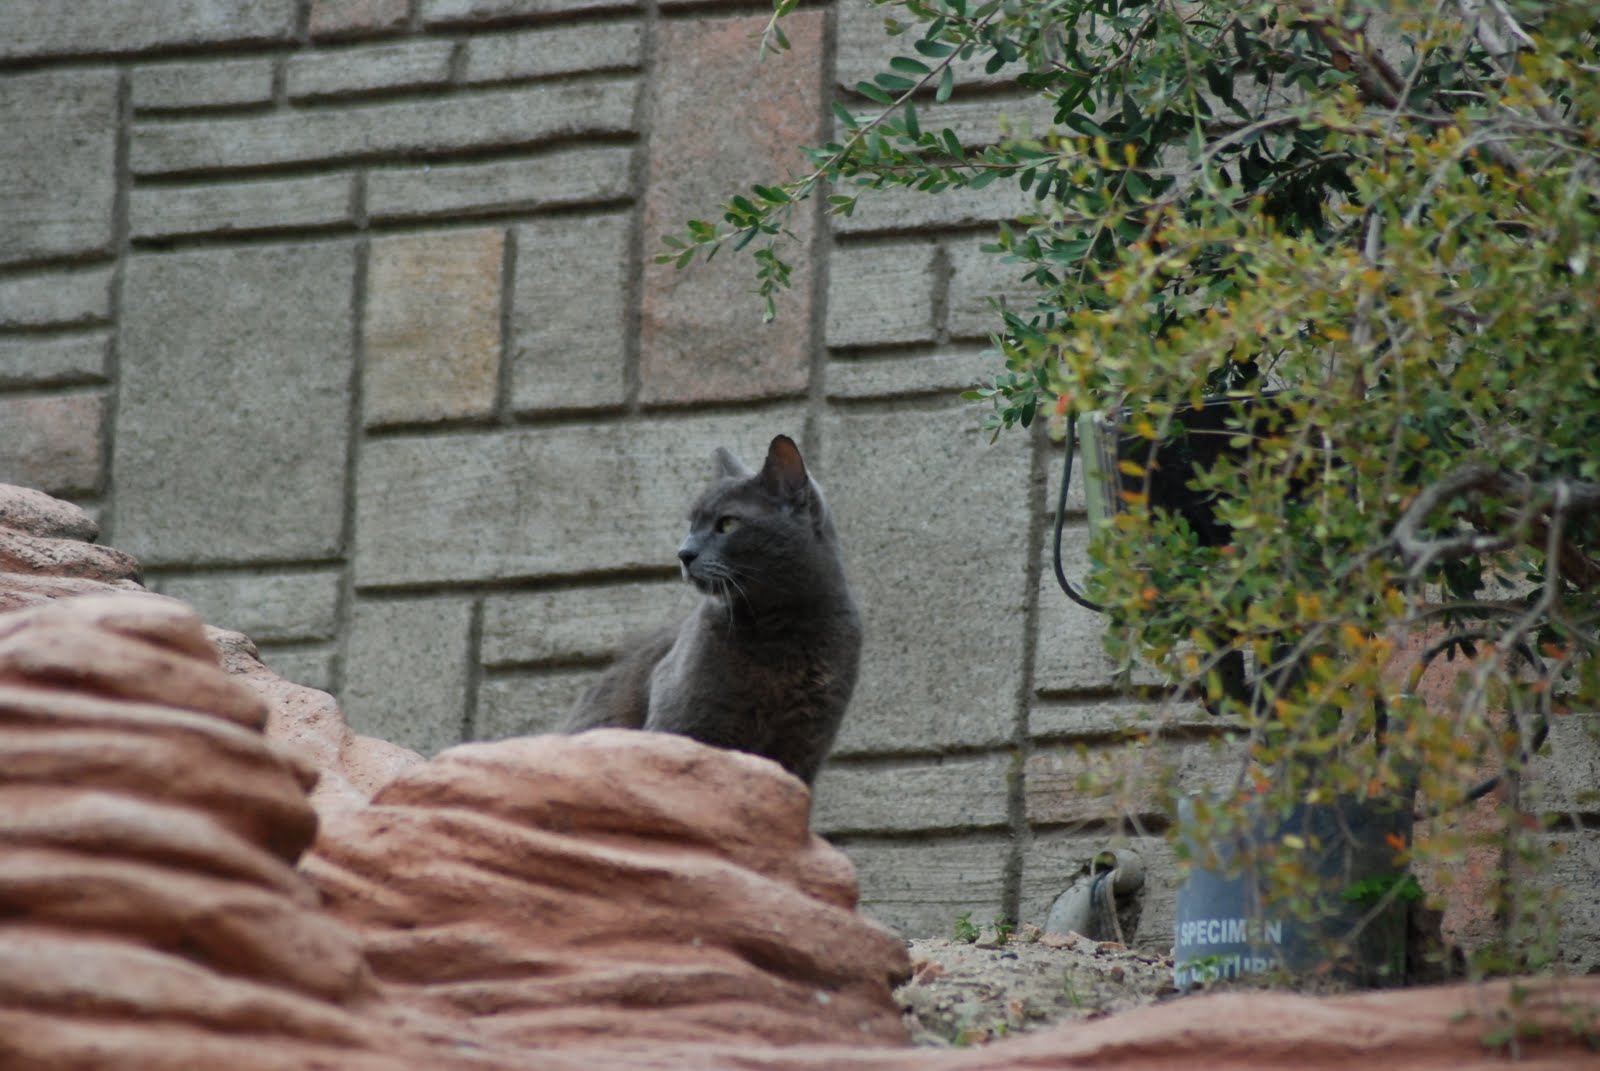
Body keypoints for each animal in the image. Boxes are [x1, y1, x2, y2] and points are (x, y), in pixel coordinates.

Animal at [566, 435, 864, 784]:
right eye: (691, 525)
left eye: (728, 523)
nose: (684, 553)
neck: (782, 628)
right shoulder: (684, 721)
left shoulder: (805, 740)